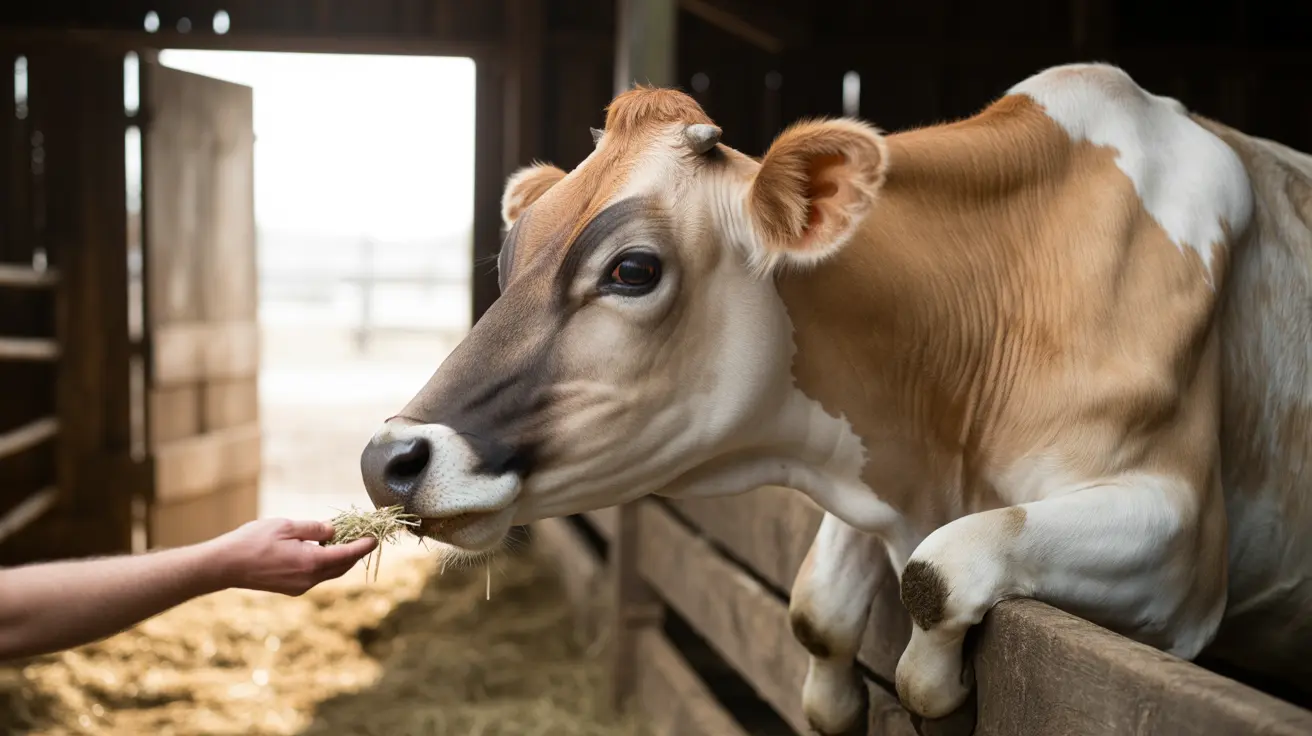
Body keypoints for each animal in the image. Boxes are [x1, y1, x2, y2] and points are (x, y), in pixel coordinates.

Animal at [359, 62, 1312, 733]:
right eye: (510, 260)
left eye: (632, 269)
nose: (388, 458)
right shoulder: (875, 467)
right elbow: (817, 611)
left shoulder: (1182, 547)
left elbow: (935, 572)